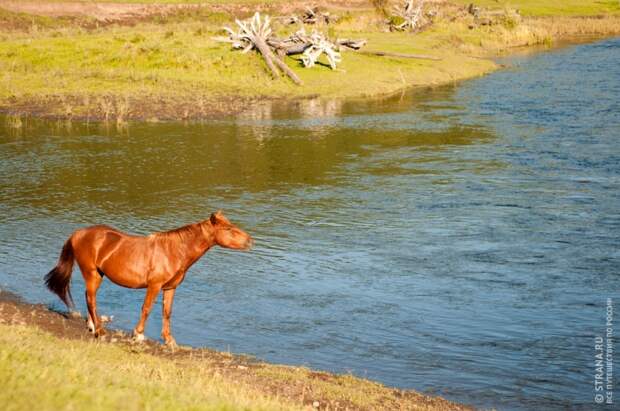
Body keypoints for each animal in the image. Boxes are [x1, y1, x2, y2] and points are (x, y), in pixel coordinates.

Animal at [43, 211, 253, 346]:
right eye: (228, 229)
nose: (250, 241)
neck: (173, 251)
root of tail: (78, 233)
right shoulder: (154, 286)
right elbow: (146, 308)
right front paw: (138, 335)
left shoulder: (170, 288)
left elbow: (167, 312)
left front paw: (169, 340)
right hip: (92, 273)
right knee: (91, 298)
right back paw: (100, 331)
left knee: (89, 297)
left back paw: (93, 327)